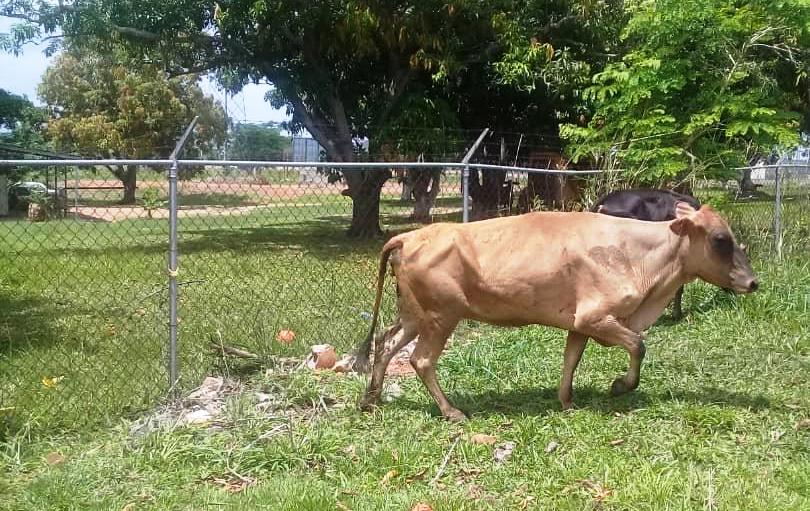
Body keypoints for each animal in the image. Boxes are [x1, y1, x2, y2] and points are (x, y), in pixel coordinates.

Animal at [356, 202, 756, 422]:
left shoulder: (579, 323)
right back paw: (452, 411)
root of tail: (410, 236)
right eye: (721, 239)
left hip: (414, 314)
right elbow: (638, 345)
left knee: (385, 343)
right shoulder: (597, 317)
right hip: (442, 315)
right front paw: (619, 386)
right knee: (421, 360)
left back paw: (370, 399)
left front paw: (566, 402)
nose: (753, 282)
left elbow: (570, 361)